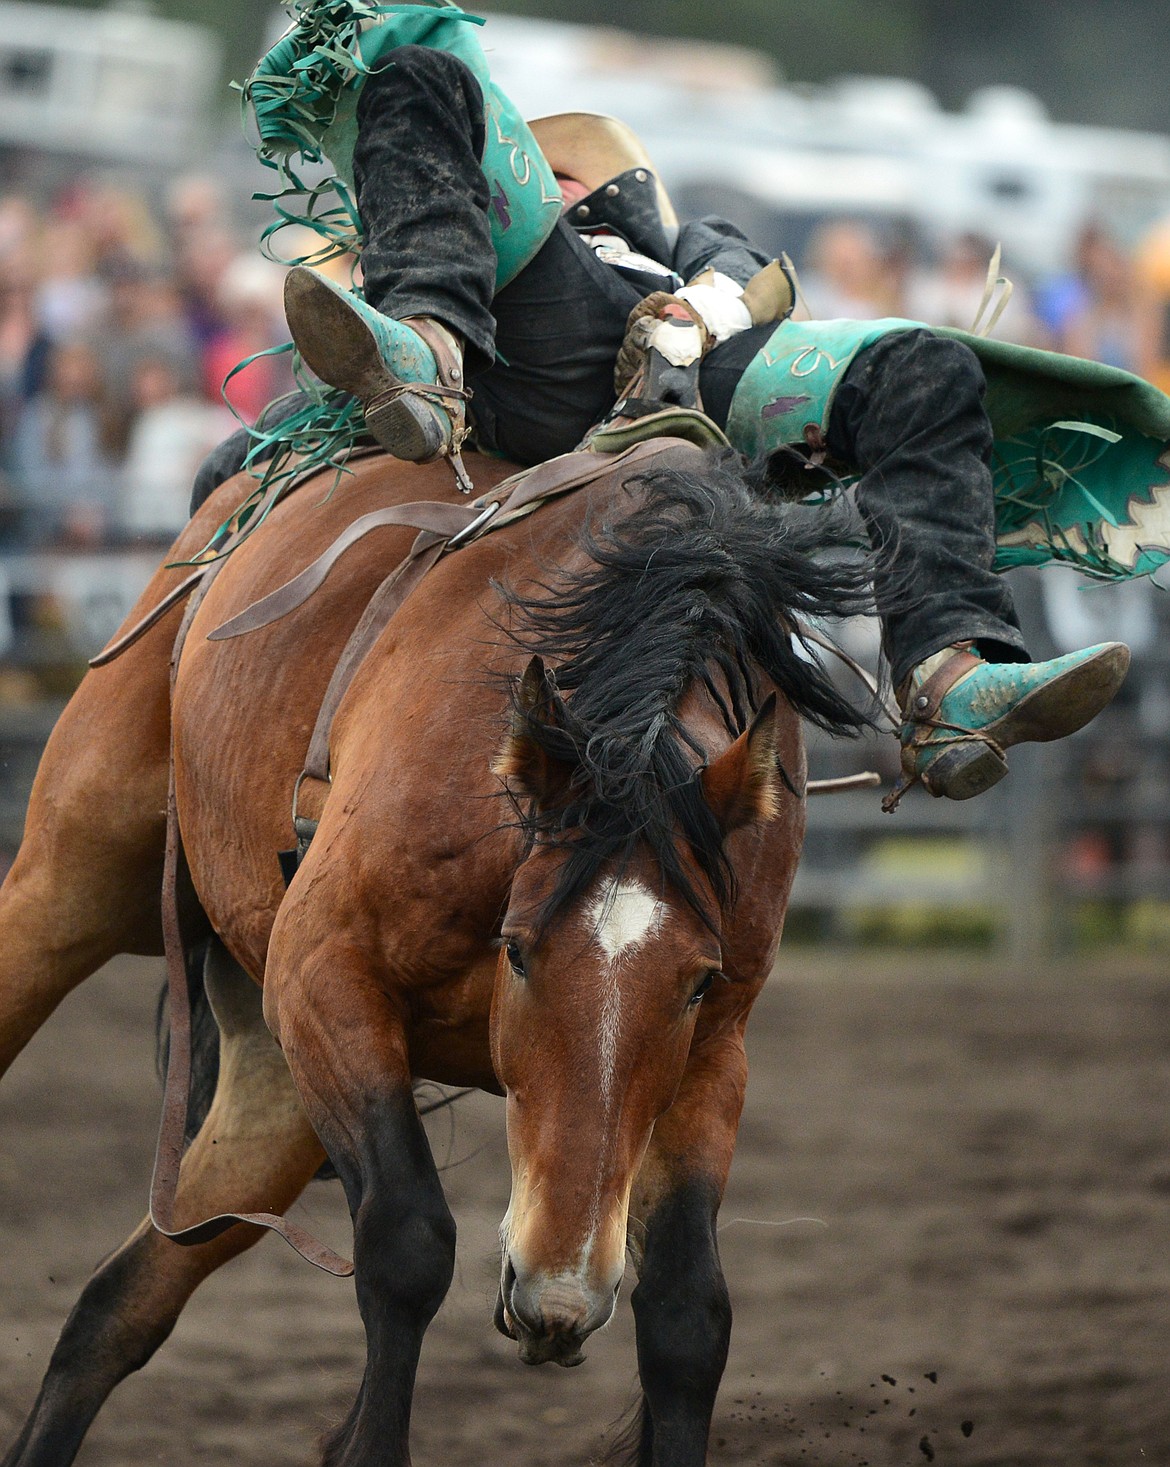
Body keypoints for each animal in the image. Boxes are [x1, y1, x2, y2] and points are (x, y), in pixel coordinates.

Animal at [0, 443, 867, 1467]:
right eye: (520, 952)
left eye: (696, 984)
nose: (559, 1295)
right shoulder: (325, 976)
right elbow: (408, 1244)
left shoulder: (712, 1060)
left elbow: (688, 1313)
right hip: (70, 886)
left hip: (274, 1083)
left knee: (118, 1303)